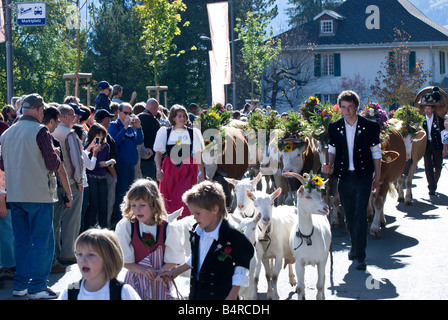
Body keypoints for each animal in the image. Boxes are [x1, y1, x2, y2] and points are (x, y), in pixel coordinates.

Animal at [286, 172, 330, 300]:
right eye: (308, 196)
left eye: (320, 194)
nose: (326, 208)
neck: (307, 236)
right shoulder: (299, 261)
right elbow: (301, 287)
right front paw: (300, 292)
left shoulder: (321, 260)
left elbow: (319, 284)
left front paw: (320, 297)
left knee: (324, 277)